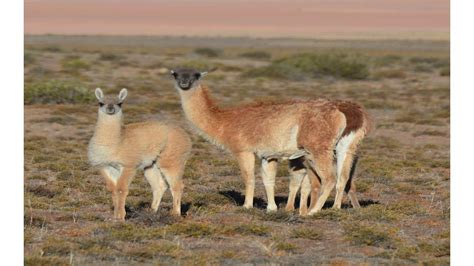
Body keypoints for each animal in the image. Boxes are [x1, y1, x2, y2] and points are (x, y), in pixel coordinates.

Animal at [88, 88, 192, 219]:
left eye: (119, 103)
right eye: (101, 103)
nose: (110, 108)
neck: (117, 142)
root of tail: (186, 136)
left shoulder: (128, 165)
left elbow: (121, 189)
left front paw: (121, 216)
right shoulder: (106, 166)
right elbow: (113, 189)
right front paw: (115, 215)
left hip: (172, 160)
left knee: (177, 186)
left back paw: (175, 214)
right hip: (151, 165)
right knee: (160, 186)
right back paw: (152, 211)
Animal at [171, 68, 348, 214]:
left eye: (195, 75)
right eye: (176, 74)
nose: (184, 83)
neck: (225, 121)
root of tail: (339, 115)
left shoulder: (244, 151)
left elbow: (248, 177)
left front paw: (247, 206)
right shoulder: (268, 156)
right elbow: (268, 180)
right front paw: (271, 208)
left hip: (318, 150)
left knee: (330, 178)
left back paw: (314, 211)